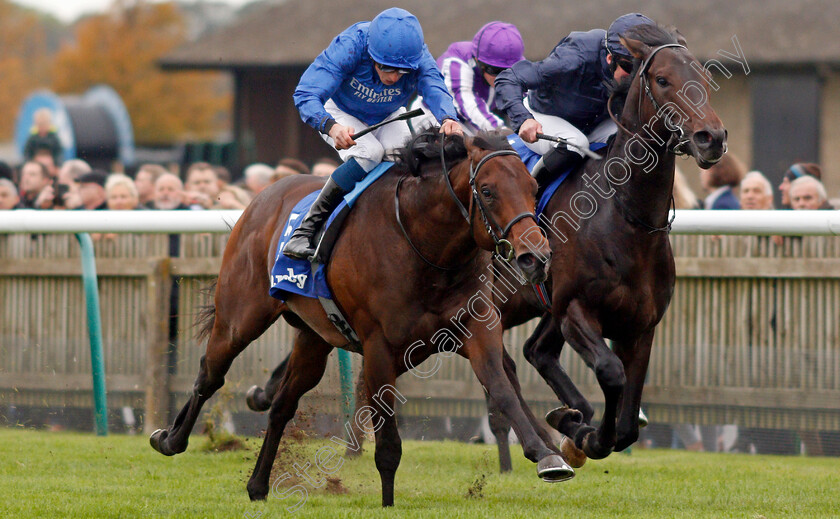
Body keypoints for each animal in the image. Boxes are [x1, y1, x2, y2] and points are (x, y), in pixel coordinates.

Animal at [149, 130, 576, 508]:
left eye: (533, 188)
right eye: (487, 191)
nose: (535, 258)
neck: (424, 246)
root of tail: (263, 196)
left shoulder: (476, 328)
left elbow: (502, 388)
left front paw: (547, 455)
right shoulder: (378, 347)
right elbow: (387, 440)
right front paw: (387, 502)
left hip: (314, 340)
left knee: (283, 404)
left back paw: (257, 485)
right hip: (239, 317)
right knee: (209, 373)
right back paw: (169, 439)